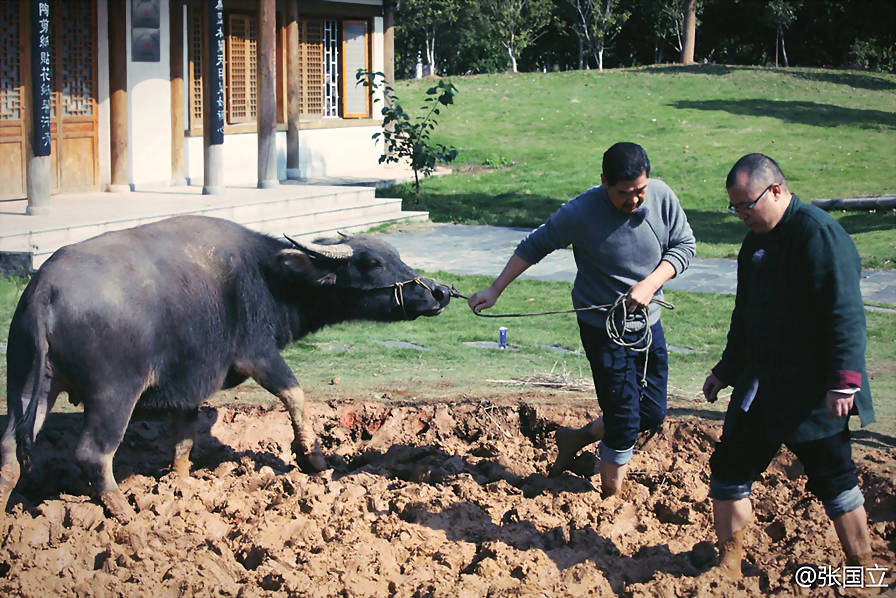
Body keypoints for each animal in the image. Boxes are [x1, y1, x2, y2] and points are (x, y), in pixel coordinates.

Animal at [0, 216, 448, 520]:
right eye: (374, 263)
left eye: (396, 256)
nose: (440, 292)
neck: (268, 276)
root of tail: (45, 290)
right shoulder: (257, 354)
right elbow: (295, 393)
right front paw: (313, 457)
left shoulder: (186, 381)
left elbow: (183, 435)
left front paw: (180, 481)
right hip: (113, 393)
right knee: (93, 453)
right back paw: (125, 513)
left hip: (29, 386)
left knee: (8, 451)